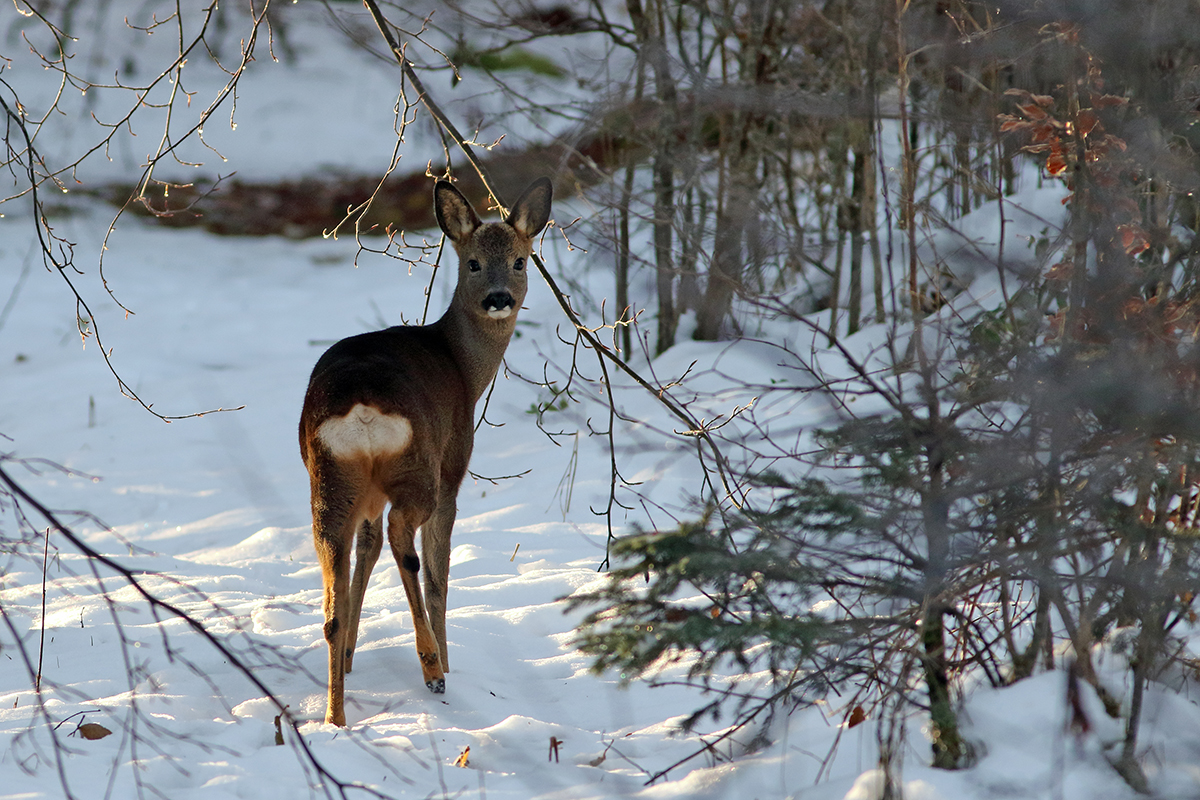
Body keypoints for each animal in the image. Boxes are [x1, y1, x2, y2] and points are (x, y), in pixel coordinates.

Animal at [297, 178, 549, 729]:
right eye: (472, 263)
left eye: (519, 261)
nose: (499, 298)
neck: (462, 366)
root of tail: (362, 407)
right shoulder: (455, 463)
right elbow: (438, 572)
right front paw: (449, 662)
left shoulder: (367, 497)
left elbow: (365, 553)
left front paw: (352, 656)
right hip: (420, 468)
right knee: (406, 542)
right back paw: (432, 666)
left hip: (332, 479)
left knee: (335, 583)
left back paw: (335, 715)